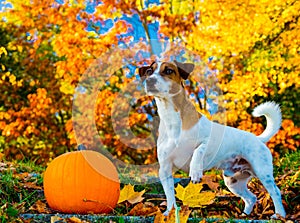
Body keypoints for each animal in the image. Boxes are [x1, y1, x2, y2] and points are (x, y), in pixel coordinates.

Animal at [138, 60, 286, 219]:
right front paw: (169, 212)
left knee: (275, 192)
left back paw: (279, 215)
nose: (149, 80)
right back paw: (244, 215)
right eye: (149, 71)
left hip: (262, 171)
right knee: (251, 197)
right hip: (233, 181)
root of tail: (258, 138)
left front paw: (195, 171)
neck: (172, 118)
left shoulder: (208, 141)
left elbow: (198, 150)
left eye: (168, 71)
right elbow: (170, 195)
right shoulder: (165, 168)